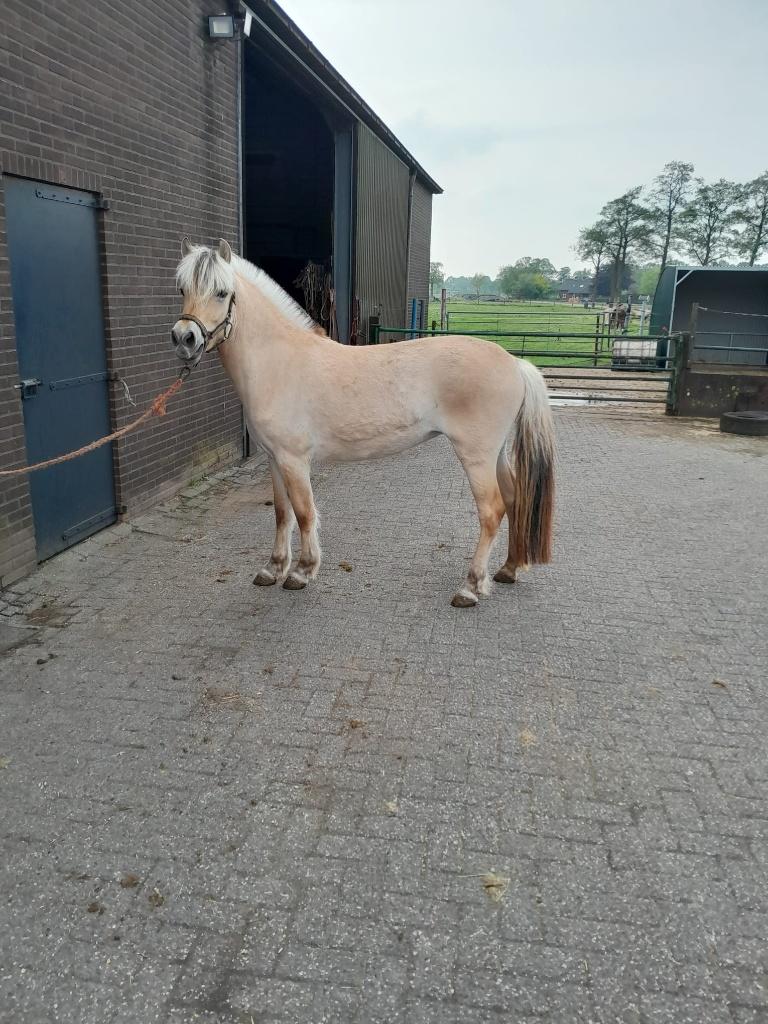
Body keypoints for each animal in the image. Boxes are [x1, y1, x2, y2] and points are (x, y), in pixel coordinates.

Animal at [171, 239, 555, 608]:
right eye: (182, 288)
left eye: (222, 292)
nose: (184, 338)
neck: (279, 361)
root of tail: (515, 363)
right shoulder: (274, 458)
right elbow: (282, 513)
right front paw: (273, 568)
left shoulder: (294, 460)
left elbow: (305, 513)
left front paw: (302, 572)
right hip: (496, 454)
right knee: (514, 498)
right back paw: (507, 570)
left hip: (476, 455)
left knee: (491, 511)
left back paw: (471, 588)